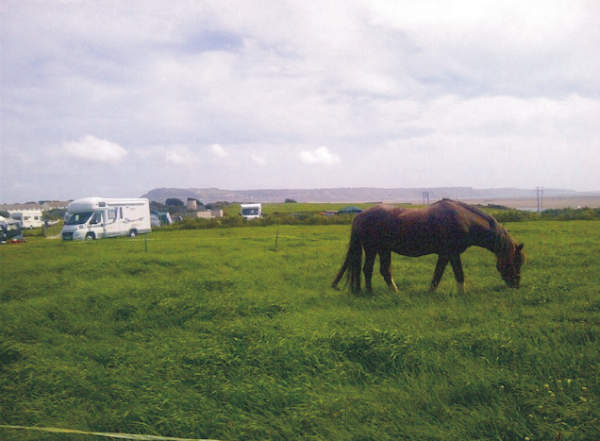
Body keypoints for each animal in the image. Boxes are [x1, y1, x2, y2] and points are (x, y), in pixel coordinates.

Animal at [332, 199, 524, 292]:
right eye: (516, 262)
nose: (516, 285)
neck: (464, 220)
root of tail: (359, 216)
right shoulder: (450, 253)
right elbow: (450, 274)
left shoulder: (449, 254)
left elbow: (446, 274)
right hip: (372, 249)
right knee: (367, 270)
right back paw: (370, 292)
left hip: (383, 250)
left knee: (384, 271)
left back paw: (394, 292)